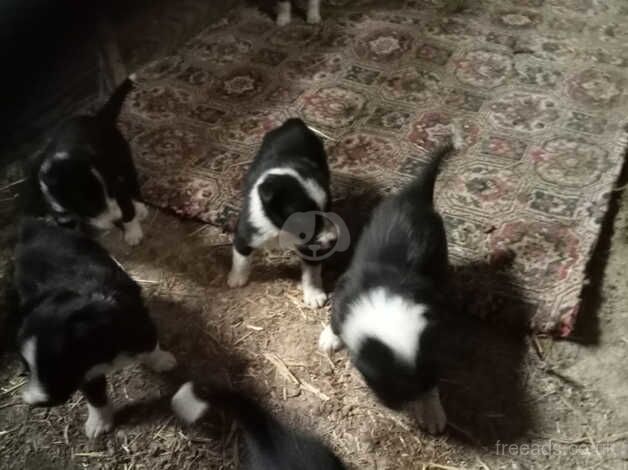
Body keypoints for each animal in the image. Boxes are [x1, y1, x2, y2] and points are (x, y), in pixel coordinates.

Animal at [14, 218, 177, 438]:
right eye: (27, 366)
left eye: (58, 368)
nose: (34, 401)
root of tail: (33, 226)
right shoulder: (85, 373)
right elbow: (95, 396)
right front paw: (99, 423)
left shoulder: (141, 327)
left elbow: (151, 347)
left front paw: (162, 361)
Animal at [31, 74, 148, 246]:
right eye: (91, 206)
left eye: (111, 192)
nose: (117, 218)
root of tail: (97, 118)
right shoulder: (61, 213)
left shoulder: (117, 186)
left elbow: (128, 212)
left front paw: (133, 233)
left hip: (124, 160)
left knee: (133, 184)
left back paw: (140, 208)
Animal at [228, 117, 336, 308]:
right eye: (305, 219)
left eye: (328, 208)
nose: (333, 240)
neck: (280, 227)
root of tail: (295, 122)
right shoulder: (246, 230)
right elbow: (241, 256)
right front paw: (237, 278)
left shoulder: (312, 245)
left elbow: (312, 271)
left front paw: (314, 294)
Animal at [318, 129, 462, 434]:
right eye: (391, 386)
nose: (395, 405)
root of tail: (415, 196)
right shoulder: (344, 293)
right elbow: (336, 320)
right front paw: (330, 336)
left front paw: (431, 409)